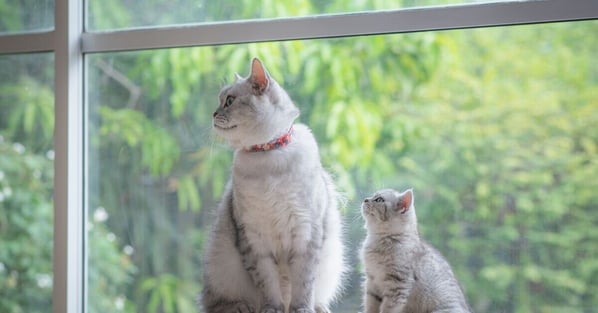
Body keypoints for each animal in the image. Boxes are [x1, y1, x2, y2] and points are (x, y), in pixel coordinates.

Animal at [202, 56, 346, 312]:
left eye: (229, 101)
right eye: (220, 100)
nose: (213, 113)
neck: (268, 154)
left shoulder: (305, 233)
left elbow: (303, 285)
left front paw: (302, 309)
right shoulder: (254, 240)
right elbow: (268, 284)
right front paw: (273, 309)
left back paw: (319, 308)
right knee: (218, 304)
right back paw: (243, 308)